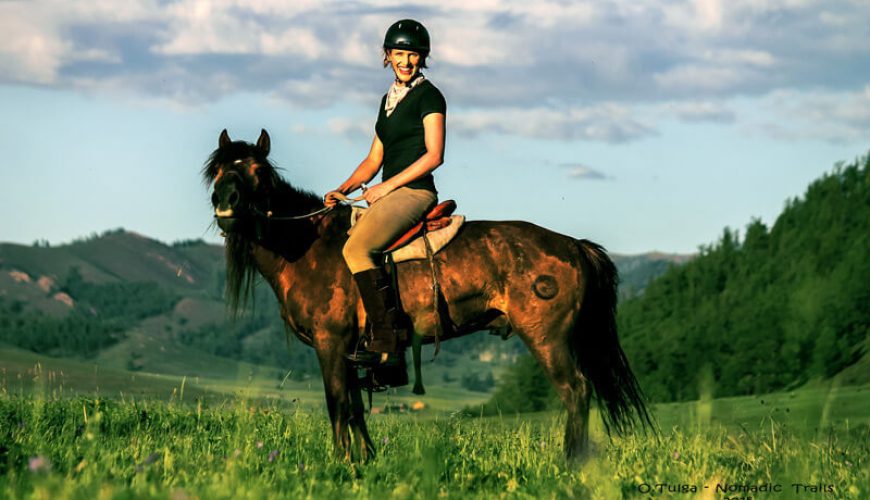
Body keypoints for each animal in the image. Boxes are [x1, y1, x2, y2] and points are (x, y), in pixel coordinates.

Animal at [204, 129, 656, 460]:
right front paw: (365, 461)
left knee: (575, 391)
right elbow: (355, 407)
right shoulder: (351, 351)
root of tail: (574, 246)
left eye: (259, 171)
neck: (307, 245)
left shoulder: (330, 344)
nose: (225, 203)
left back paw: (572, 462)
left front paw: (342, 463)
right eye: (218, 170)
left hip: (548, 338)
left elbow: (337, 404)